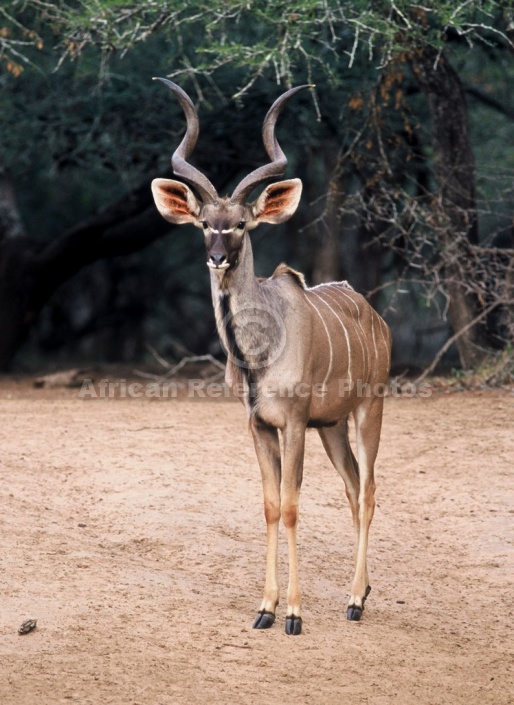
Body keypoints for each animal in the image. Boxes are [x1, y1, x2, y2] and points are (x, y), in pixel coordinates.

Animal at [150, 80, 390, 636]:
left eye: (241, 223)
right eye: (204, 223)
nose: (216, 257)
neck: (258, 352)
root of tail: (376, 317)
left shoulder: (294, 423)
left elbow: (293, 504)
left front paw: (295, 614)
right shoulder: (259, 425)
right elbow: (269, 505)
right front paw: (265, 607)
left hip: (368, 411)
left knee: (368, 491)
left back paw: (355, 599)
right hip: (333, 427)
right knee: (351, 489)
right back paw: (361, 592)